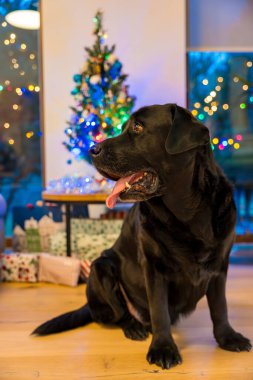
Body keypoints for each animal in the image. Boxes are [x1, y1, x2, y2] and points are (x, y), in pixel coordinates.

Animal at [33, 103, 251, 368]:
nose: (91, 149)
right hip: (100, 267)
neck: (187, 212)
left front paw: (227, 338)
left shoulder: (220, 266)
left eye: (137, 127)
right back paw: (134, 327)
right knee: (117, 314)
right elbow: (159, 311)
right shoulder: (153, 267)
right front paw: (163, 347)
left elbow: (220, 307)